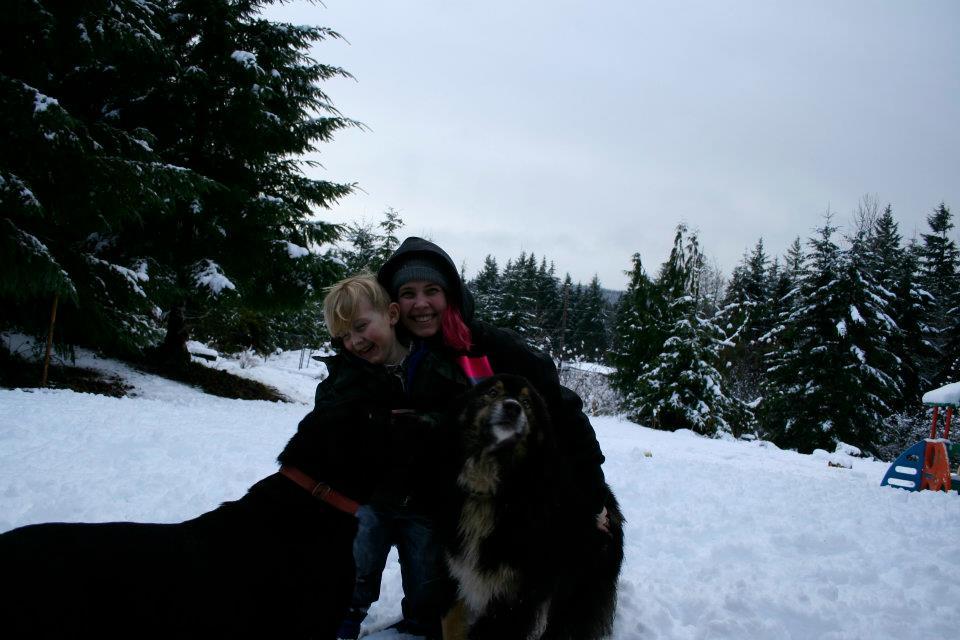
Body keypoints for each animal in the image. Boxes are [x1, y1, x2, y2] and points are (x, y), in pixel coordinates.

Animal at [442, 374, 624, 640]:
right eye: (492, 392)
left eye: (527, 403)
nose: (512, 407)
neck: (497, 491)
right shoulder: (463, 572)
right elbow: (450, 621)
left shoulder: (516, 595)